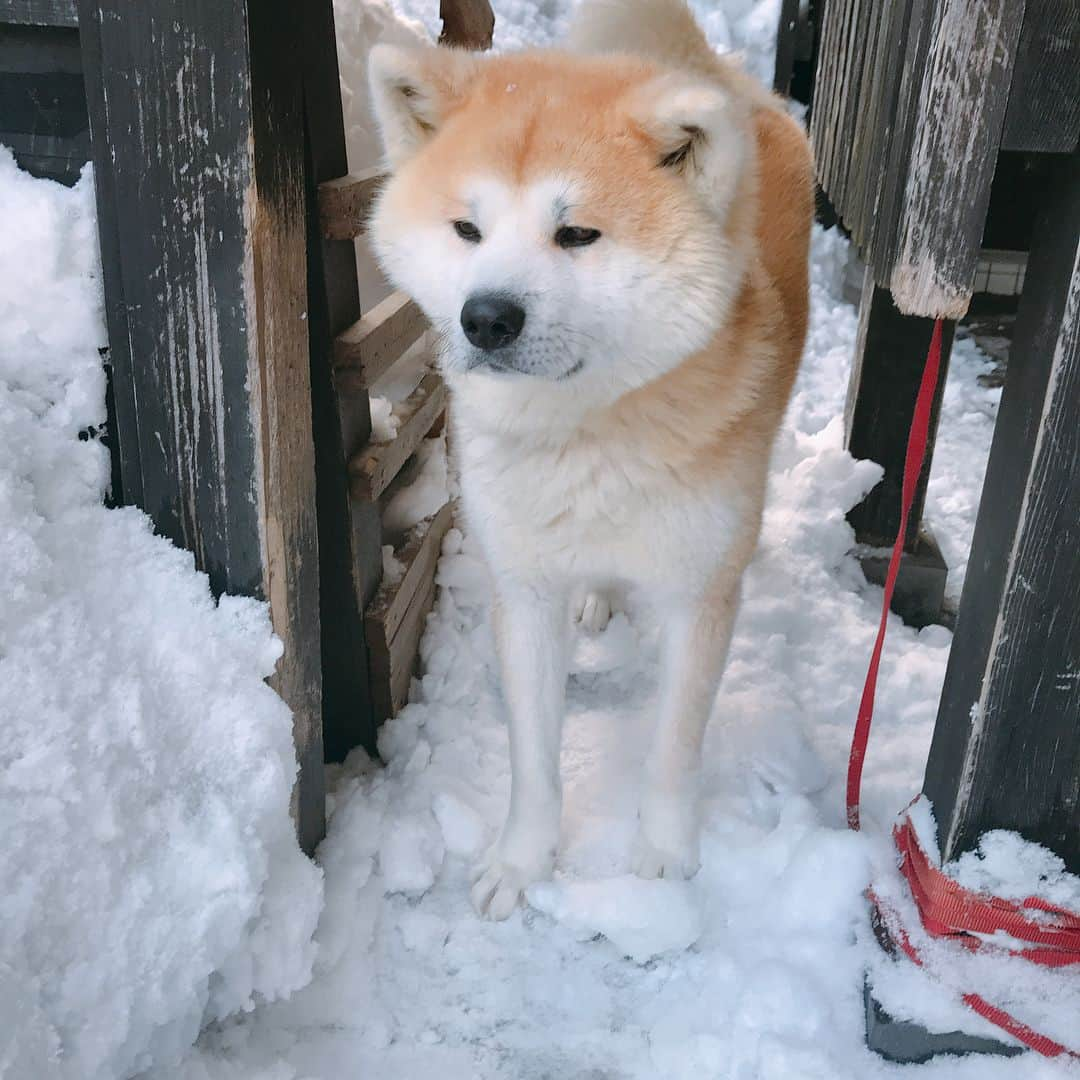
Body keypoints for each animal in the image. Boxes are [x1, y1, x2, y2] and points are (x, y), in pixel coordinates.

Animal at [369, 0, 812, 915]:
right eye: (467, 229)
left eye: (576, 234)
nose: (485, 318)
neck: (587, 436)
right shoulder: (524, 590)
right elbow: (534, 762)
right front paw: (521, 863)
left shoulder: (699, 594)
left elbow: (673, 751)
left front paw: (663, 859)